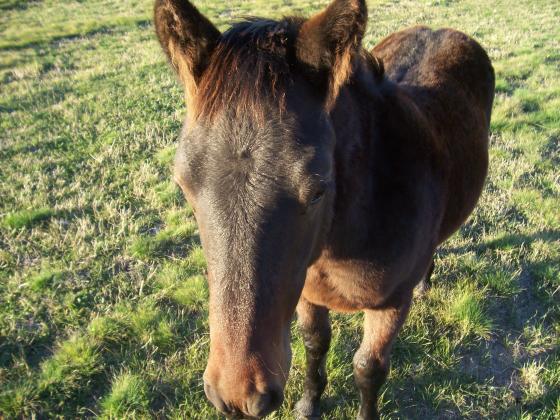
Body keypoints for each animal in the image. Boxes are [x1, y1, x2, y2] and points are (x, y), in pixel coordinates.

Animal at [153, 0, 494, 416]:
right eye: (183, 185)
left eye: (317, 190)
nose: (237, 397)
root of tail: (440, 30)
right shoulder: (308, 296)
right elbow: (315, 346)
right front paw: (308, 403)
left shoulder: (392, 305)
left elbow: (368, 369)